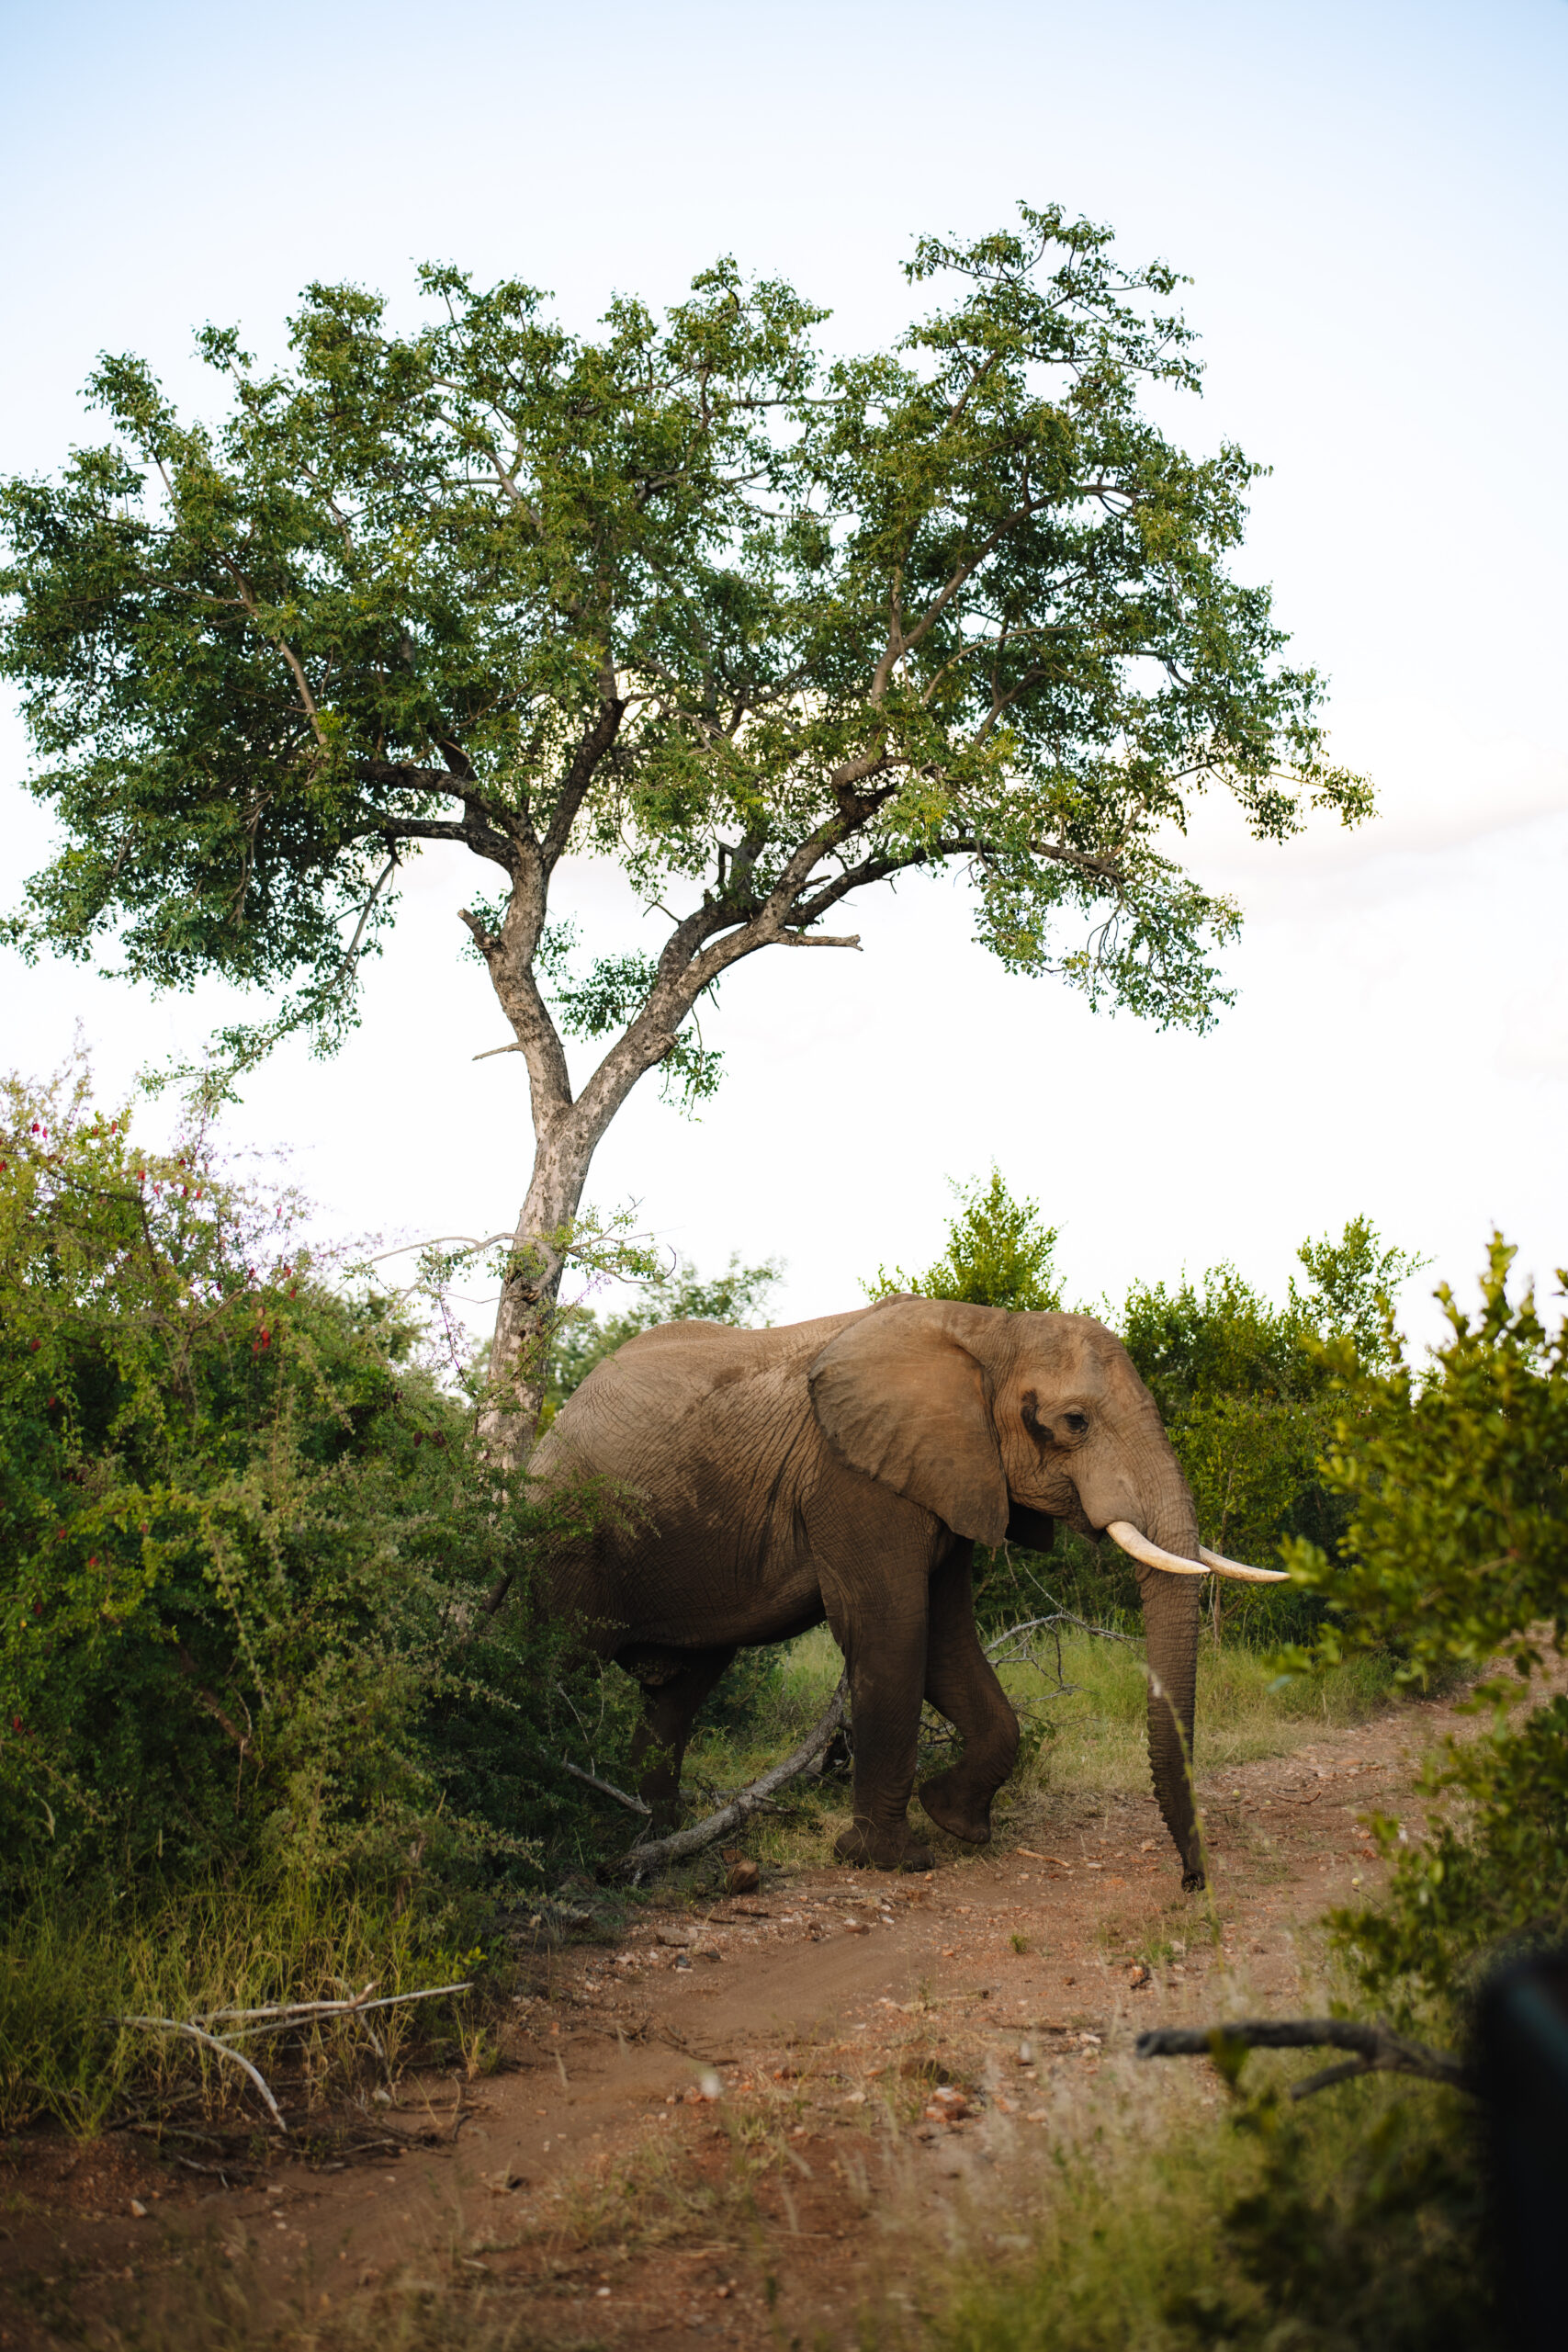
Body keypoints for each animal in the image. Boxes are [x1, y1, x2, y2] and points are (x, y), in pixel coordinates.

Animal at [529, 1295, 1281, 1883]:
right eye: (1074, 1422)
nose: (1190, 1882)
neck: (989, 1331)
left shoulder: (950, 1475)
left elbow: (947, 1640)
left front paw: (955, 1821)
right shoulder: (852, 1478)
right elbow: (892, 1630)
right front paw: (888, 1859)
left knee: (678, 1692)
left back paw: (651, 1840)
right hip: (565, 1536)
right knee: (553, 1665)